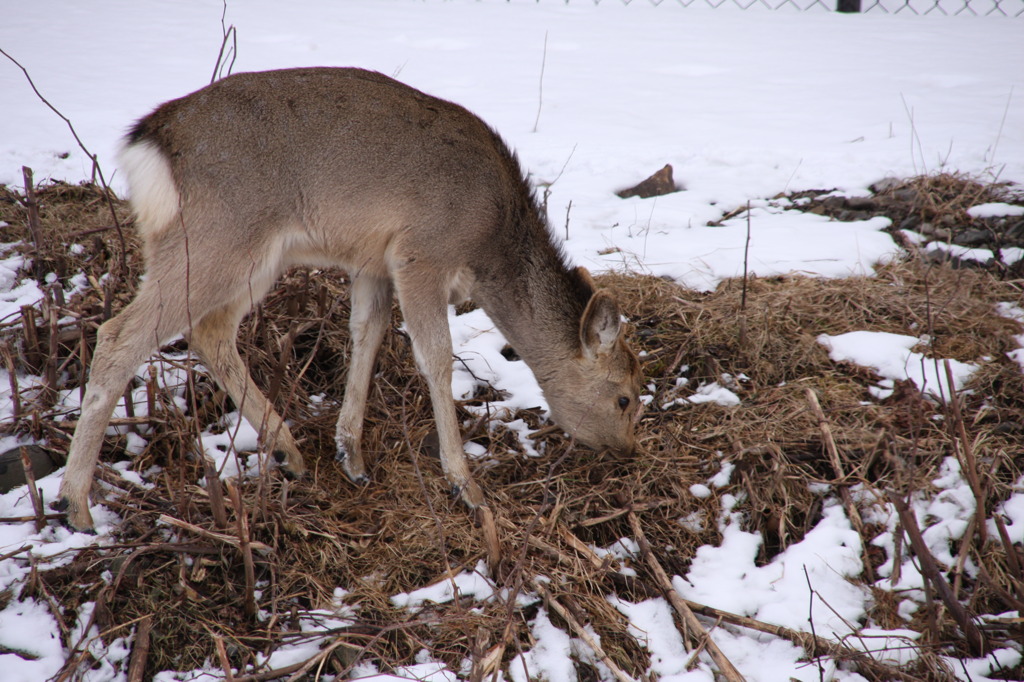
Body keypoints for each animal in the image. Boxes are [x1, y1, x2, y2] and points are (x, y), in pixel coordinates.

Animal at [54, 65, 638, 532]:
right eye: (626, 397)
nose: (630, 453)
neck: (489, 246)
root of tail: (151, 141)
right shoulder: (420, 252)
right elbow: (436, 357)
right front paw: (465, 485)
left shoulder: (373, 261)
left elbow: (367, 335)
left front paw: (350, 455)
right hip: (218, 235)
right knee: (121, 335)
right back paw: (76, 505)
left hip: (235, 255)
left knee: (209, 331)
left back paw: (289, 451)